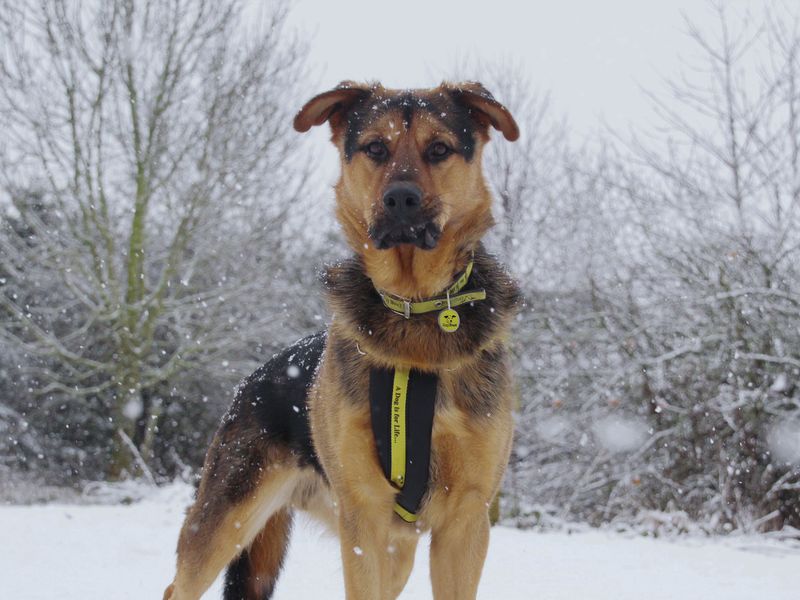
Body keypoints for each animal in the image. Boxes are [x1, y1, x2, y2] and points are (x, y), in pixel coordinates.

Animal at [166, 81, 520, 600]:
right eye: (376, 148)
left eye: (439, 149)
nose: (401, 200)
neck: (412, 309)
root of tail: (252, 378)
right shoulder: (365, 520)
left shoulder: (465, 523)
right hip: (222, 520)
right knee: (178, 586)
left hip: (398, 550)